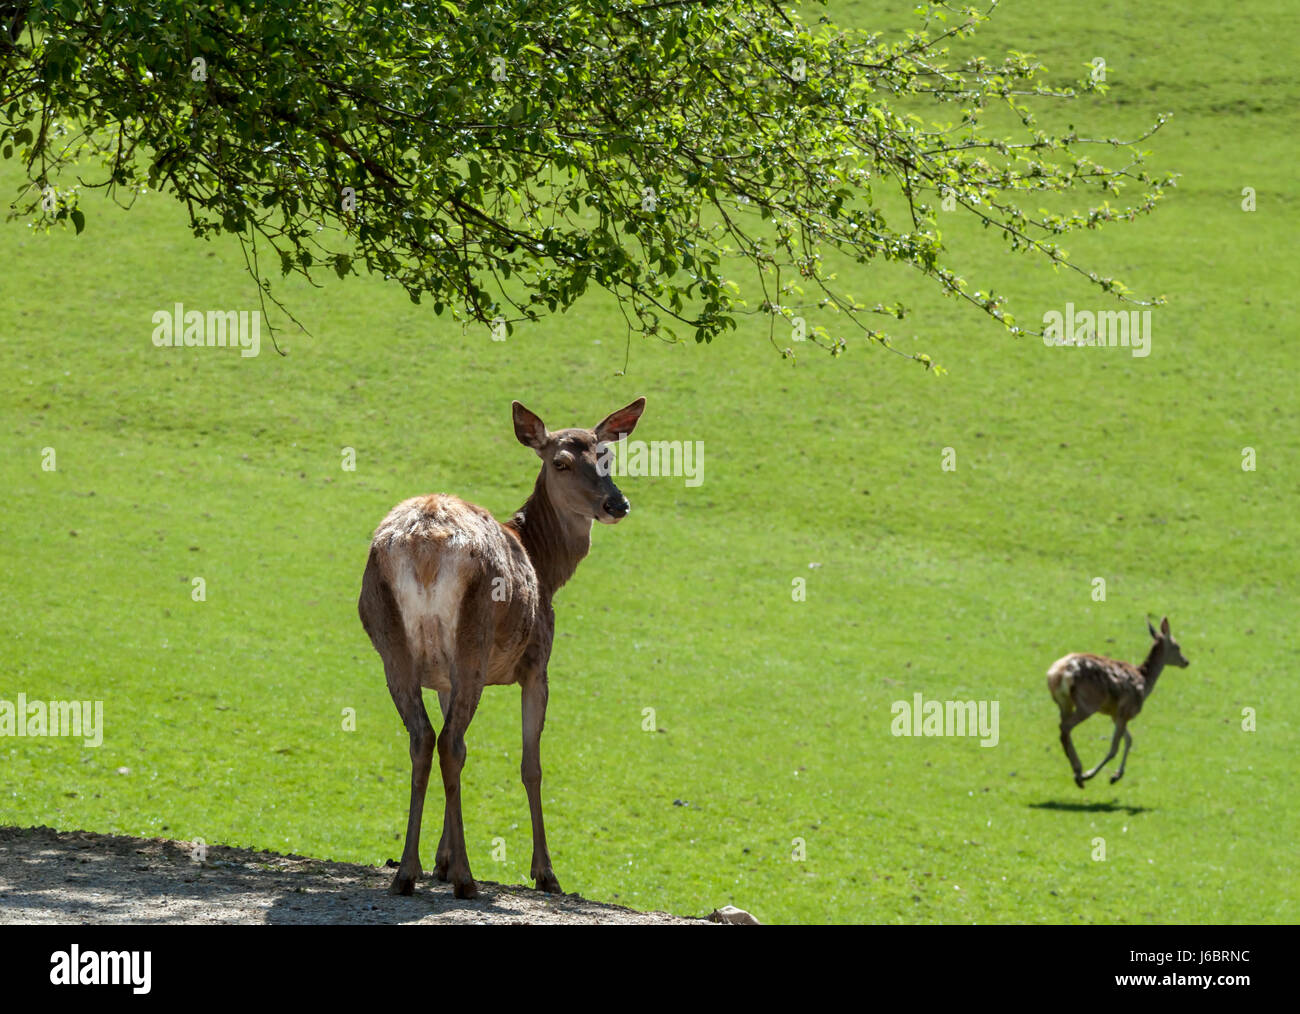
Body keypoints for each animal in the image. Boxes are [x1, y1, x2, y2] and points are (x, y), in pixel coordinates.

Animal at [356, 395, 644, 894]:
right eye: (561, 462)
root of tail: (425, 543)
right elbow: (532, 765)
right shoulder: (537, 664)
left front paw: (441, 860)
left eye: (606, 455)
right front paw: (545, 871)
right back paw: (466, 879)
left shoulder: (441, 678)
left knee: (424, 738)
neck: (547, 568)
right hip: (475, 637)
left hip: (392, 641)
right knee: (450, 742)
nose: (617, 503)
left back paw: (408, 872)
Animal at [1045, 613, 1190, 790]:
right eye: (1177, 646)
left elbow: (1129, 740)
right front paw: (1091, 774)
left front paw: (1116, 776)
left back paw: (1076, 769)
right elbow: (1115, 747)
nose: (1186, 661)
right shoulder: (1126, 710)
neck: (1145, 681)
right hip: (1087, 703)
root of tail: (1058, 672)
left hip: (1063, 702)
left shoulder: (1116, 714)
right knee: (1065, 727)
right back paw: (1079, 772)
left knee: (1063, 729)